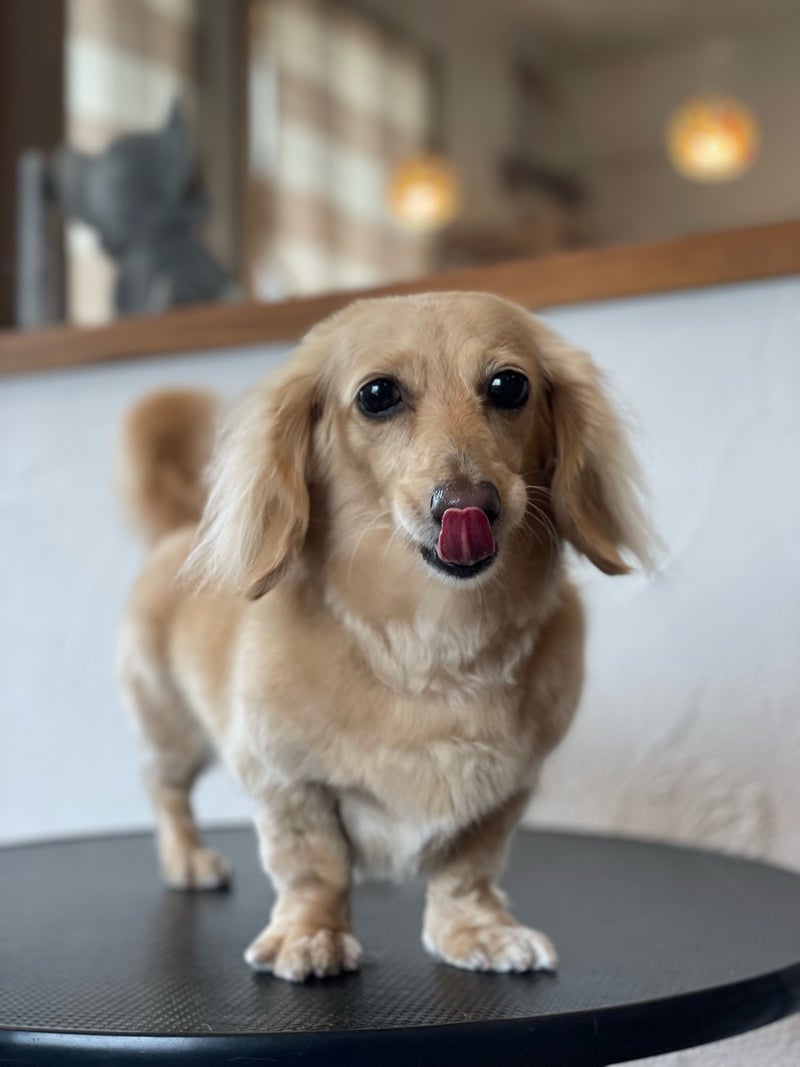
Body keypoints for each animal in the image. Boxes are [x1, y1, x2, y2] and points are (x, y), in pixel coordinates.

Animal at [117, 291, 652, 982]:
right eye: (377, 395)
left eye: (509, 385)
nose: (467, 503)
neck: (433, 647)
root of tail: (179, 531)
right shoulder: (286, 779)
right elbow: (313, 864)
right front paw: (310, 935)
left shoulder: (505, 792)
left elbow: (468, 868)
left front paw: (477, 932)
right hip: (174, 729)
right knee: (165, 789)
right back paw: (187, 858)